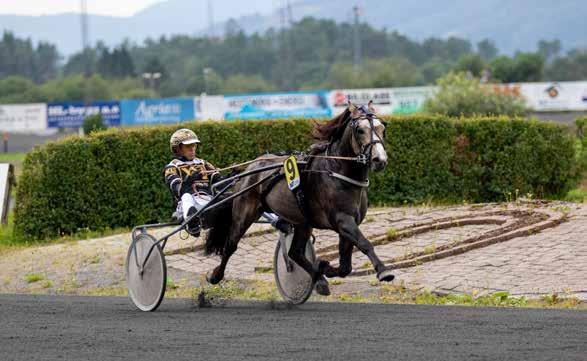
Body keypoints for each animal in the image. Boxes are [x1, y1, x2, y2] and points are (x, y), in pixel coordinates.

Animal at [206, 100, 396, 292]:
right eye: (360, 130)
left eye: (382, 128)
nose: (380, 160)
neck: (338, 171)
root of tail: (249, 168)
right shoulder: (342, 220)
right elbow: (364, 243)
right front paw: (383, 271)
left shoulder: (350, 222)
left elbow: (345, 266)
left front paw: (324, 267)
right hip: (245, 212)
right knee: (230, 245)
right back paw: (215, 276)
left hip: (302, 221)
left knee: (295, 252)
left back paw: (319, 280)